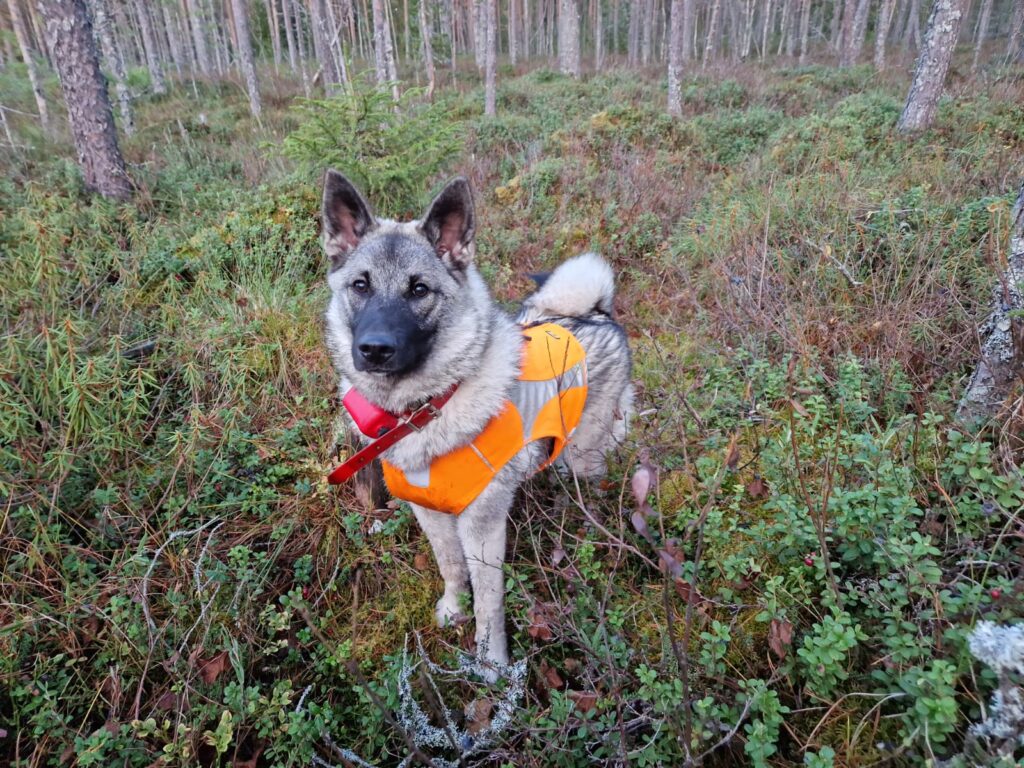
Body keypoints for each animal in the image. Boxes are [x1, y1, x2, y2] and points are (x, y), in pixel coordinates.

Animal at [323, 173, 634, 679]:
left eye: (419, 290)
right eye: (360, 285)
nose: (374, 350)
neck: (427, 407)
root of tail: (592, 312)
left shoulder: (483, 527)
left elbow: (490, 600)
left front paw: (491, 661)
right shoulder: (432, 515)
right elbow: (450, 567)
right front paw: (454, 609)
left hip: (584, 459)